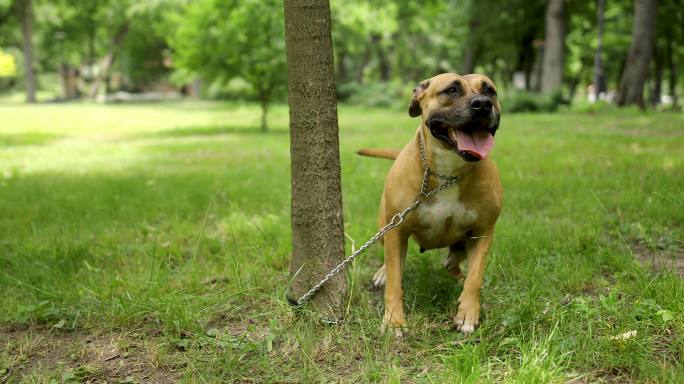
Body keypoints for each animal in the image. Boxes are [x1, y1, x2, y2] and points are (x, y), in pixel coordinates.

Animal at [358, 73, 502, 336]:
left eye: (490, 91)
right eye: (452, 90)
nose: (483, 104)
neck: (449, 173)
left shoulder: (483, 232)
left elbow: (475, 278)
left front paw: (468, 313)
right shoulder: (396, 230)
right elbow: (395, 279)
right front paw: (393, 321)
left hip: (463, 244)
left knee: (452, 264)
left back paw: (457, 278)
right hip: (384, 228)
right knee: (391, 260)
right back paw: (383, 273)